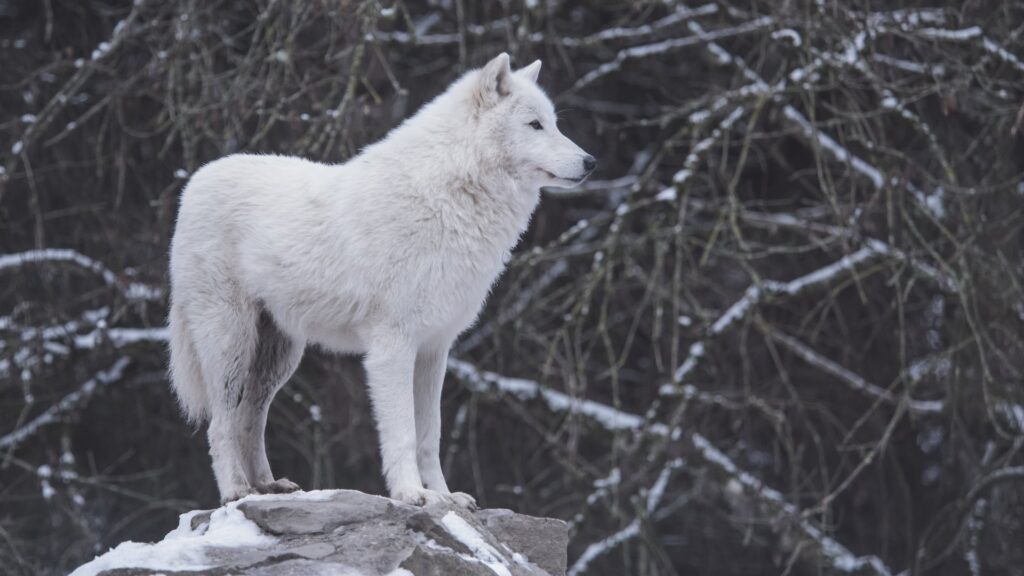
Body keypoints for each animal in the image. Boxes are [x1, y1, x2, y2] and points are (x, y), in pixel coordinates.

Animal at [166, 53, 593, 502]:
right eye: (535, 125)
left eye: (555, 123)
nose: (591, 162)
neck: (448, 198)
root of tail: (195, 181)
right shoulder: (392, 346)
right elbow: (403, 432)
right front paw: (411, 494)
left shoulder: (435, 349)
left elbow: (430, 435)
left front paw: (445, 496)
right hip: (230, 345)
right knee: (220, 424)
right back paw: (236, 491)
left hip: (279, 357)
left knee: (251, 417)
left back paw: (267, 486)